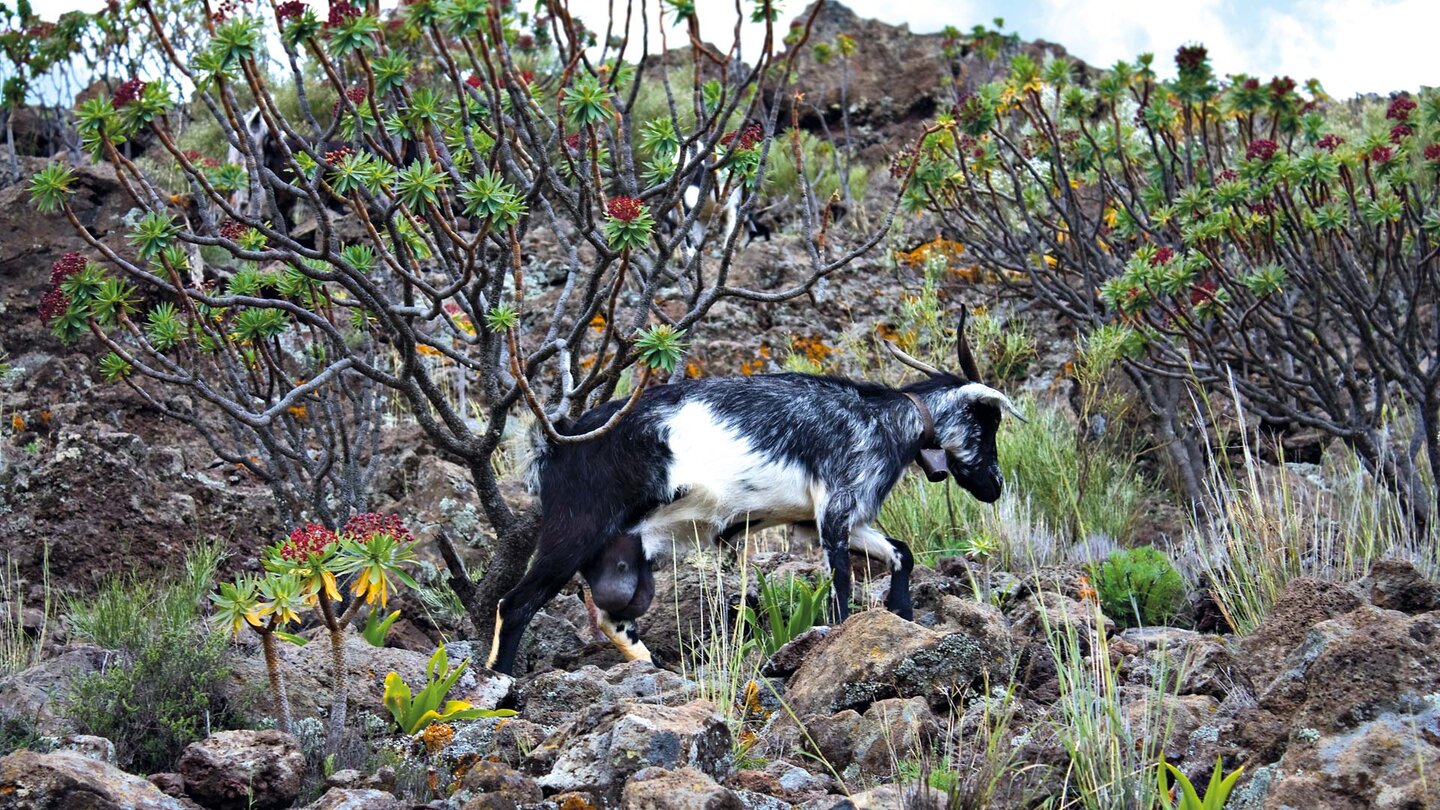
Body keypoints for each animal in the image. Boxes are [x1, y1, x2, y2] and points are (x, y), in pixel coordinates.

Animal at [486, 312, 1025, 671]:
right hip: (575, 529)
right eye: (987, 421)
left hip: (625, 556)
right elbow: (843, 585)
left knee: (611, 614)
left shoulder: (834, 519)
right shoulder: (834, 513)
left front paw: (904, 615)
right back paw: (504, 688)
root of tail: (554, 445)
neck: (883, 419)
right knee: (515, 604)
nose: (994, 486)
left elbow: (902, 553)